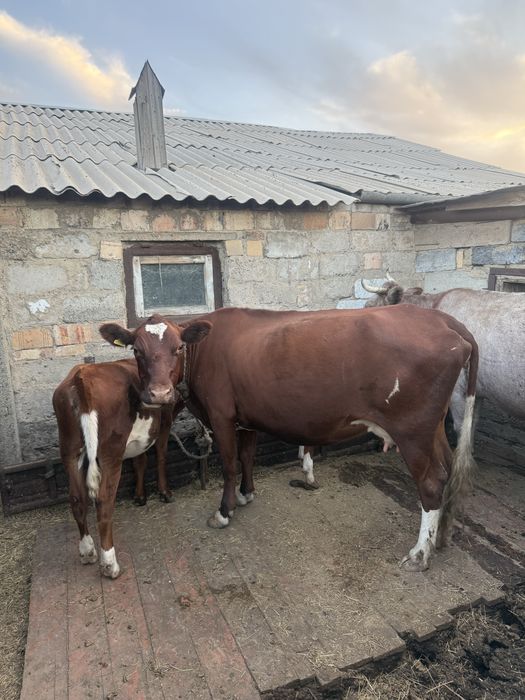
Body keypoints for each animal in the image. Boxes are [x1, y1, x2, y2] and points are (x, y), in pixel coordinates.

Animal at [53, 317, 210, 579]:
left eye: (179, 347)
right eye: (137, 350)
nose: (159, 393)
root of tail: (82, 375)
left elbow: (140, 460)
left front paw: (140, 496)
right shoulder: (164, 421)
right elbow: (160, 455)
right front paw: (164, 492)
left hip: (69, 447)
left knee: (76, 497)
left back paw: (87, 550)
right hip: (109, 452)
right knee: (104, 501)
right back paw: (109, 562)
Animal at [102, 306, 478, 572]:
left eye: (179, 347)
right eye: (136, 351)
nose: (159, 393)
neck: (204, 351)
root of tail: (442, 319)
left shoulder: (222, 416)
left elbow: (228, 465)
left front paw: (224, 512)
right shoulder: (247, 419)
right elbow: (247, 458)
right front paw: (246, 495)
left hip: (412, 431)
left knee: (431, 482)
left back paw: (419, 554)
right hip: (433, 428)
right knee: (447, 470)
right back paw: (441, 537)